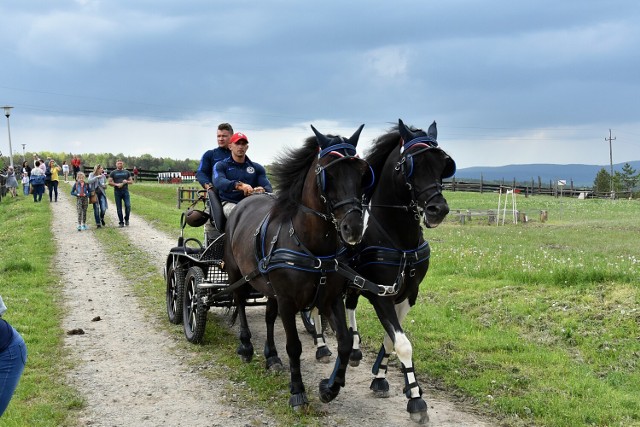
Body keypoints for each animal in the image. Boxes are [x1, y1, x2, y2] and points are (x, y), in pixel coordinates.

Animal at [221, 124, 368, 412]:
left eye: (361, 173)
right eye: (329, 173)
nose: (353, 228)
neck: (312, 245)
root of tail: (244, 202)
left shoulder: (329, 298)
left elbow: (345, 343)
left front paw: (330, 388)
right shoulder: (288, 301)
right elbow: (294, 346)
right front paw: (298, 391)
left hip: (267, 285)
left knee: (268, 315)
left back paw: (271, 357)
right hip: (237, 273)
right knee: (240, 302)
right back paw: (246, 346)